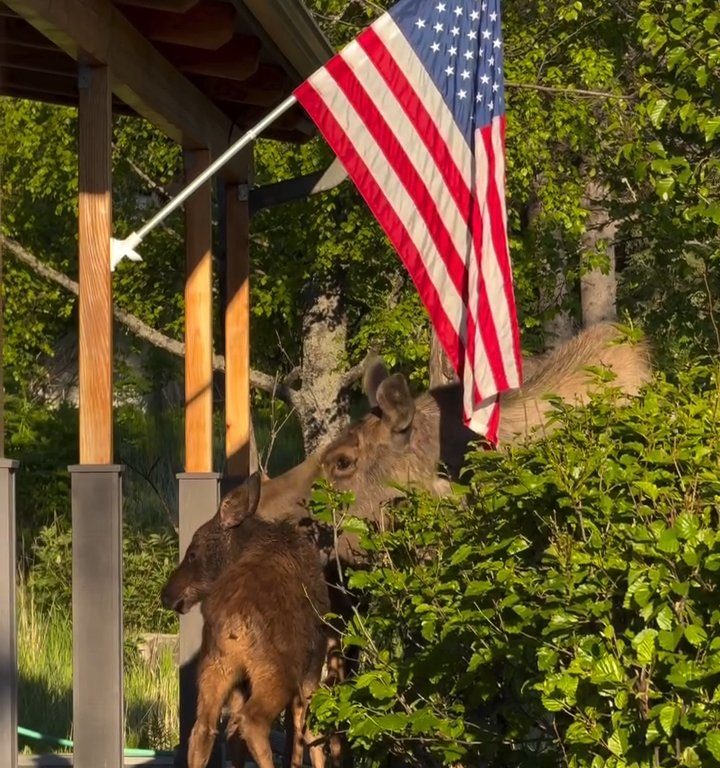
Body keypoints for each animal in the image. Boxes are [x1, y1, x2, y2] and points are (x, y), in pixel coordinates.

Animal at [161, 476, 330, 764]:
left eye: (192, 553)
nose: (167, 594)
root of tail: (231, 619)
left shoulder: (240, 685)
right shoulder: (313, 666)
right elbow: (311, 732)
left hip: (215, 667)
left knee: (204, 729)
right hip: (276, 672)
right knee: (253, 722)